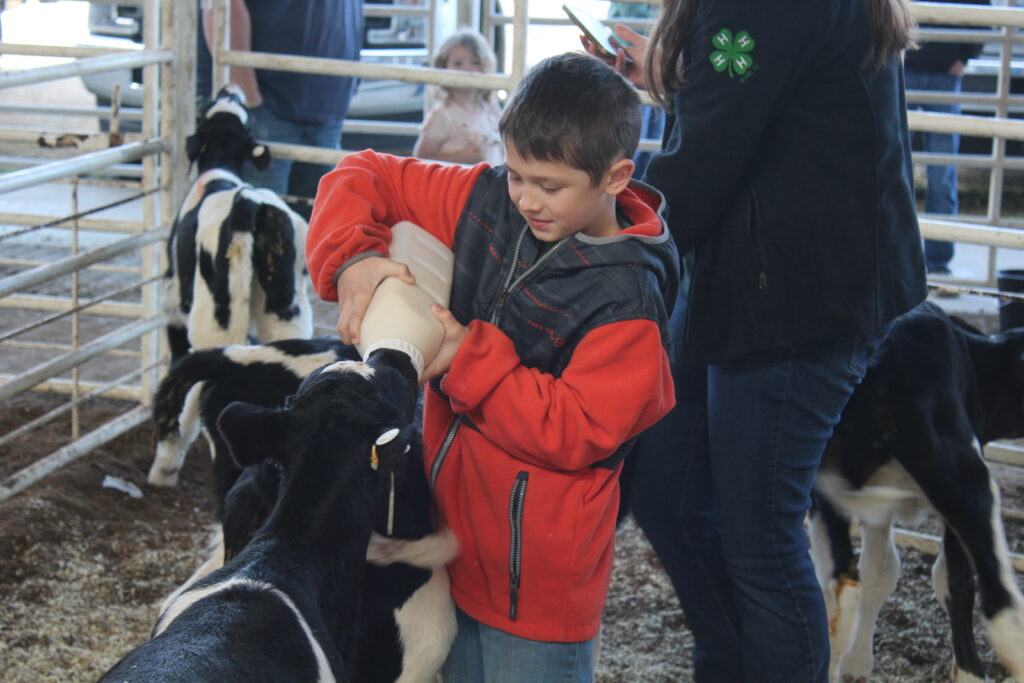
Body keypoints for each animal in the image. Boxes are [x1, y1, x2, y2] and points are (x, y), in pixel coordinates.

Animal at [164, 83, 311, 362]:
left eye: (205, 107)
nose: (229, 88)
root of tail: (247, 200)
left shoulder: (173, 301)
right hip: (284, 310)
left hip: (215, 318)